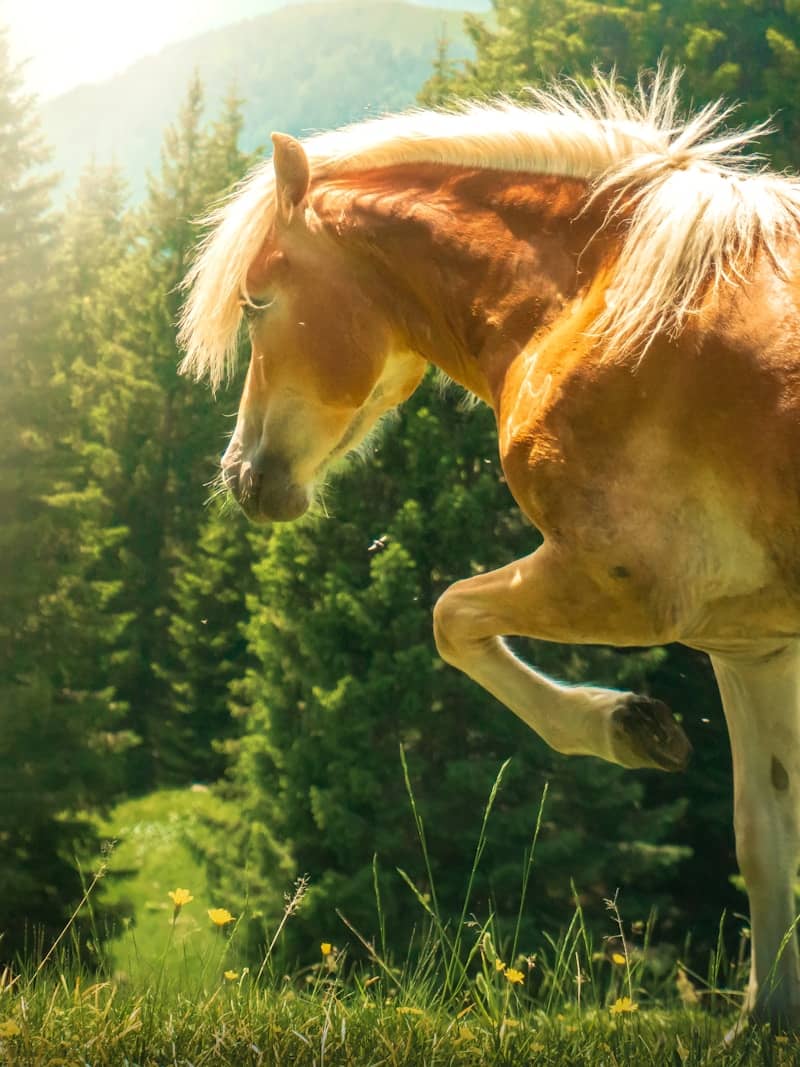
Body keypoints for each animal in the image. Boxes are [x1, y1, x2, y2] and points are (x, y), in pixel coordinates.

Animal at [179, 71, 800, 1029]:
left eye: (255, 301)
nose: (240, 474)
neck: (599, 302)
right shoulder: (752, 642)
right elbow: (763, 834)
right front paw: (764, 1017)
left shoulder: (626, 586)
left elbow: (450, 616)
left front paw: (628, 725)